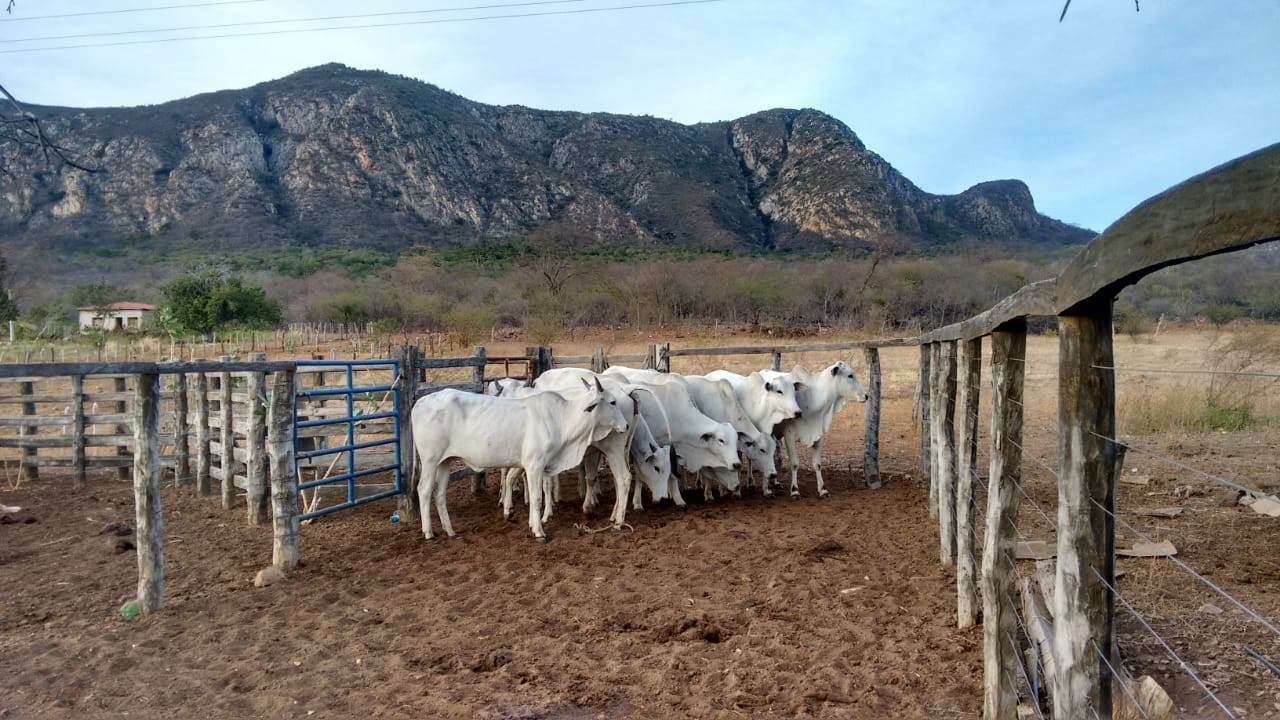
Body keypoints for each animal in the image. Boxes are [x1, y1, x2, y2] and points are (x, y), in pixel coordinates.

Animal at [412, 381, 627, 538]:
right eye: (612, 402)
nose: (625, 425)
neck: (560, 420)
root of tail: (419, 403)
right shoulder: (534, 464)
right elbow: (537, 496)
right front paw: (539, 531)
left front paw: (531, 523)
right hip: (430, 460)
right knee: (424, 490)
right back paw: (428, 532)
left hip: (445, 461)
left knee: (439, 493)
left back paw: (449, 530)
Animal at [757, 361, 870, 497]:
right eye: (850, 375)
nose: (866, 396)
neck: (812, 398)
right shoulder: (789, 435)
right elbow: (794, 464)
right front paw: (795, 490)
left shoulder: (817, 435)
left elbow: (817, 464)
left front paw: (822, 489)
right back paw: (765, 487)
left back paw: (774, 482)